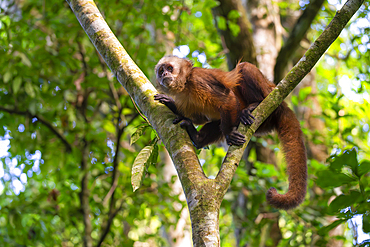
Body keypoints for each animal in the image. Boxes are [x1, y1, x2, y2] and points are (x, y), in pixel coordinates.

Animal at [153, 55, 306, 209]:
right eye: (161, 71)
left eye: (170, 68)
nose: (164, 74)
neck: (186, 85)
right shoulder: (184, 98)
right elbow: (200, 118)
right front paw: (170, 103)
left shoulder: (198, 80)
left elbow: (227, 100)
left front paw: (229, 134)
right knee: (218, 121)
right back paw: (197, 138)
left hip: (270, 99)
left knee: (245, 68)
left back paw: (255, 104)